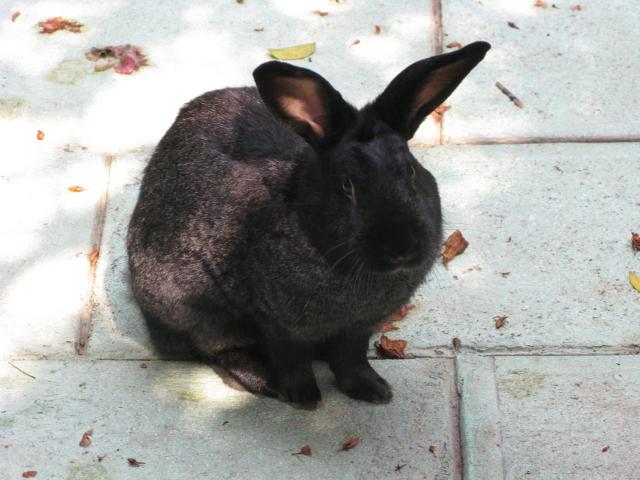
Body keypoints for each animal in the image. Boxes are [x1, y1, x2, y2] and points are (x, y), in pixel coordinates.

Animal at [127, 42, 492, 408]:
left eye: (412, 172)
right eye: (346, 186)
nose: (400, 248)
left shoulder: (357, 329)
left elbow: (350, 360)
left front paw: (374, 391)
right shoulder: (279, 325)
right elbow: (292, 360)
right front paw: (305, 399)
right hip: (192, 311)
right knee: (218, 350)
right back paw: (263, 380)